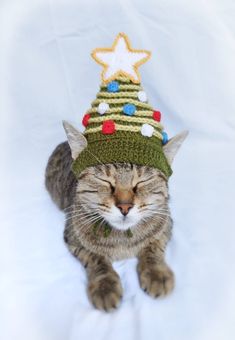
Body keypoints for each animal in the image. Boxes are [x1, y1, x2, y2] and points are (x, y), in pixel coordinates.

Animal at [45, 121, 186, 310]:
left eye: (142, 182)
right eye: (104, 180)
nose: (124, 206)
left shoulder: (166, 223)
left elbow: (153, 247)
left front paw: (156, 272)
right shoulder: (72, 235)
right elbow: (95, 258)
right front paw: (105, 286)